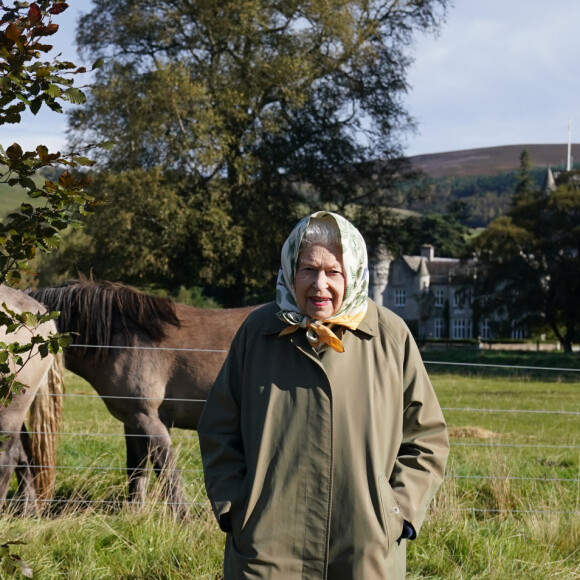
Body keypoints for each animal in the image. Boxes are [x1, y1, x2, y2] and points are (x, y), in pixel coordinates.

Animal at [32, 278, 256, 516]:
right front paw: (135, 514)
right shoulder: (132, 421)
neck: (122, 340)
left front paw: (182, 518)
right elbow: (137, 470)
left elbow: (167, 472)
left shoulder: (149, 419)